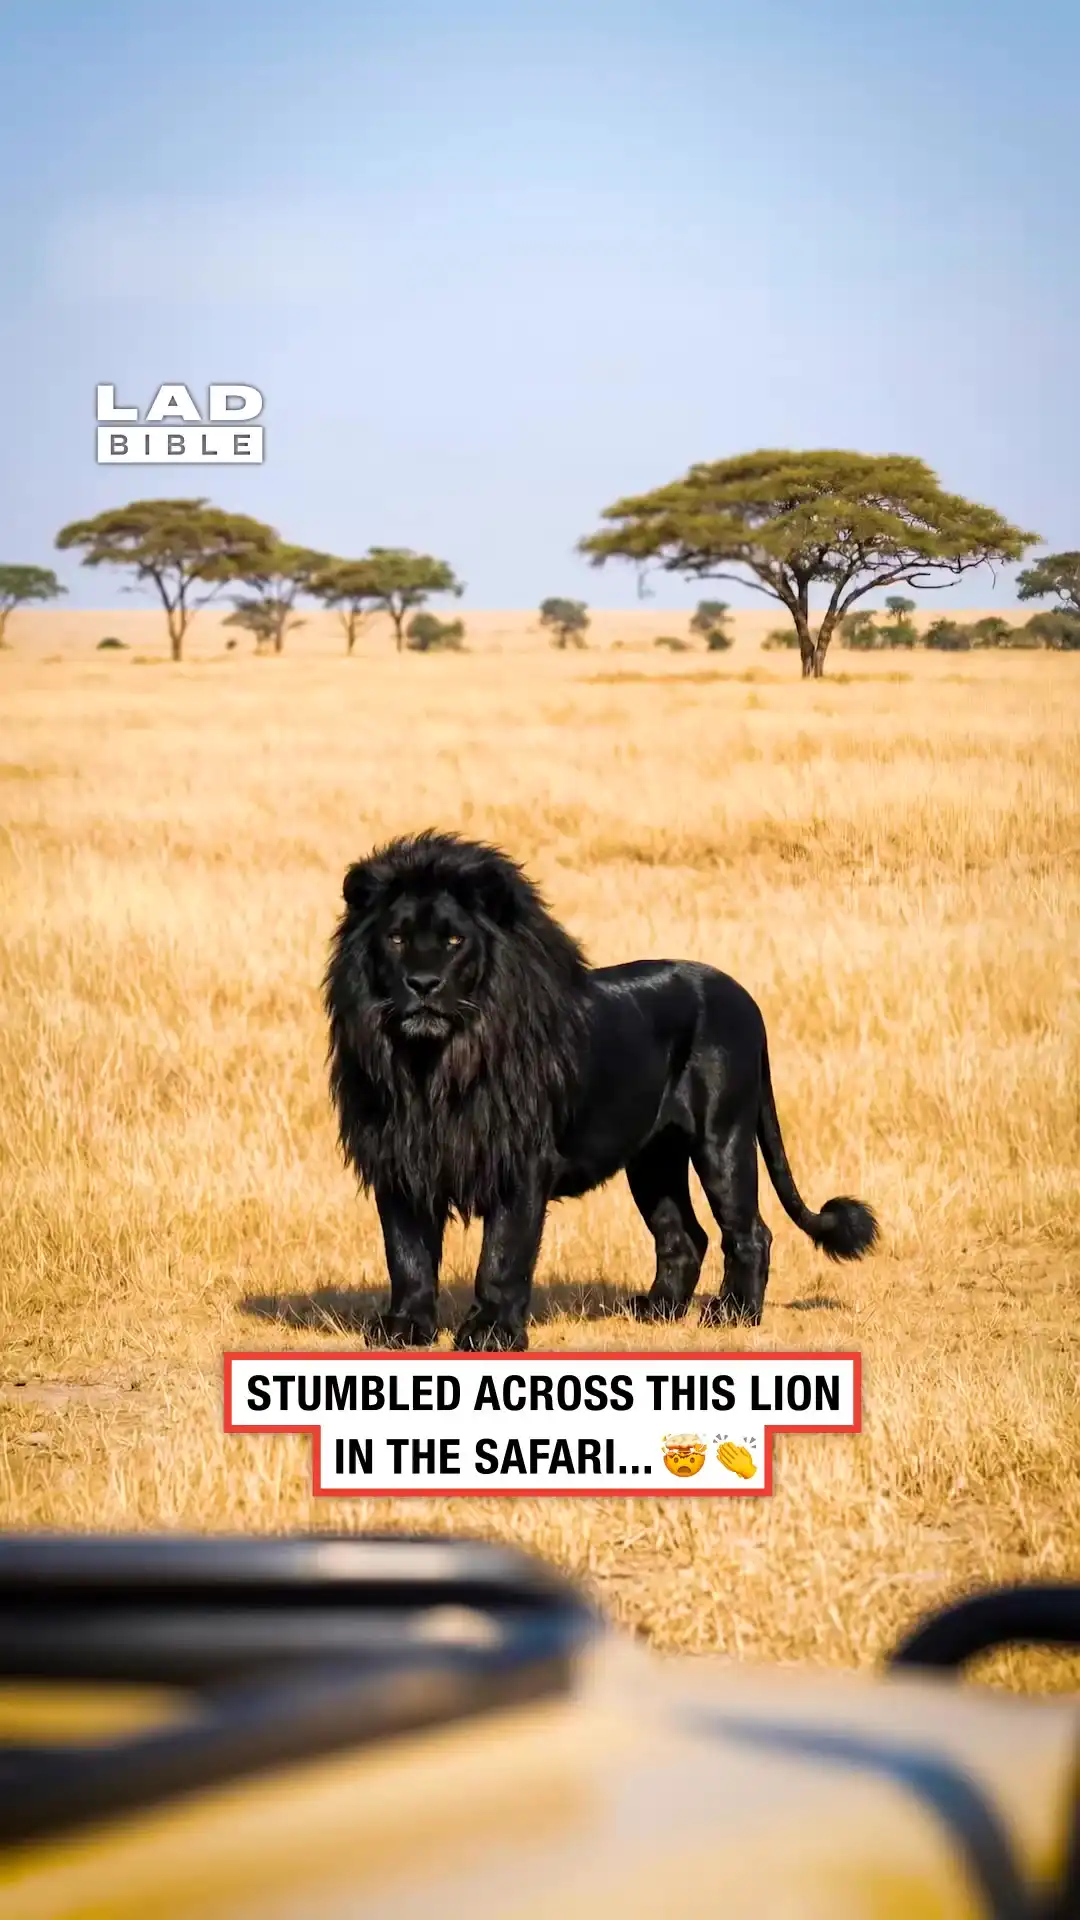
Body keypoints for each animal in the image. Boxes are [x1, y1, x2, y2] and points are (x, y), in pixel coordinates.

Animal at [324, 830, 878, 1352]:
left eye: (455, 940)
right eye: (396, 939)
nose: (422, 983)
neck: (434, 1063)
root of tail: (746, 997)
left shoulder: (522, 1164)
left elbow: (502, 1255)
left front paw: (491, 1333)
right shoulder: (399, 1161)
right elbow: (408, 1255)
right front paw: (403, 1328)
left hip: (723, 1137)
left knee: (749, 1231)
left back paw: (734, 1314)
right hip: (654, 1159)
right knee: (683, 1236)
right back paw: (657, 1310)